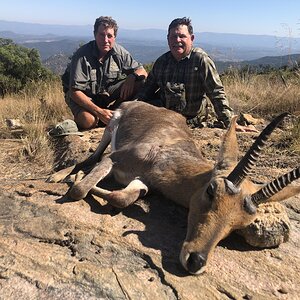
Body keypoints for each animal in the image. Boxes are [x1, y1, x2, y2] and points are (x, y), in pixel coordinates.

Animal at [47, 101, 300, 274]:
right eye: (211, 190)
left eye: (241, 224)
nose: (196, 261)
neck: (165, 157)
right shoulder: (115, 158)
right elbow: (79, 190)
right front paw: (73, 179)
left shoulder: (144, 182)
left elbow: (122, 198)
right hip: (108, 132)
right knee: (90, 157)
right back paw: (58, 176)